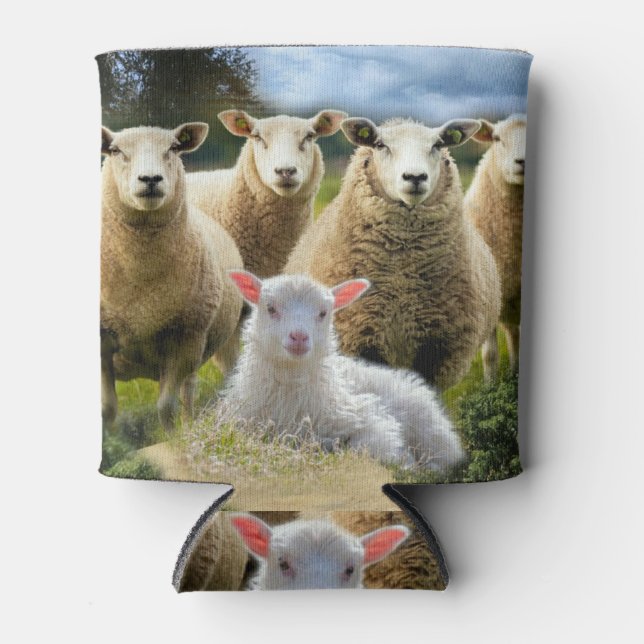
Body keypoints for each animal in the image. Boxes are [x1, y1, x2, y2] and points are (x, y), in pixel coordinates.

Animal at [100, 123, 243, 431]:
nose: (150, 179)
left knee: (188, 391)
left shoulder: (185, 340)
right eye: (116, 150)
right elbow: (106, 409)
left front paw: (172, 437)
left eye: (174, 148)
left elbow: (166, 407)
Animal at [224, 271, 465, 472]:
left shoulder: (369, 418)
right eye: (271, 308)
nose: (299, 337)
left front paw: (405, 461)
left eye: (323, 313)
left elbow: (368, 446)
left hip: (429, 429)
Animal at [285, 117, 502, 391]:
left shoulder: (438, 345)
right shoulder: (360, 335)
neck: (402, 277)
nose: (415, 176)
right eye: (380, 144)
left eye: (438, 145)